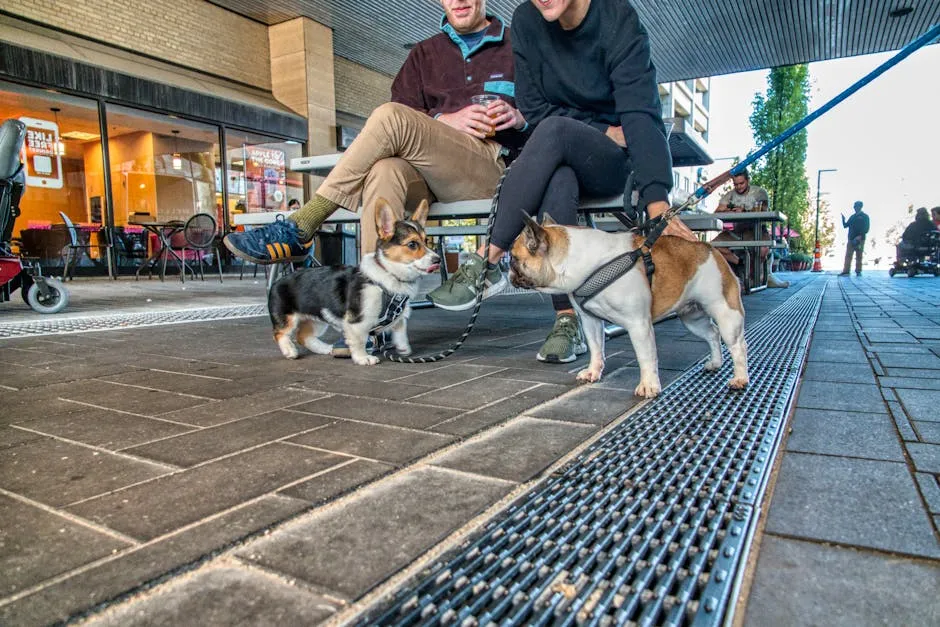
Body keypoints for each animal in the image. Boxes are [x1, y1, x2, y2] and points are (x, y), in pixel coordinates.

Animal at [266, 196, 438, 364]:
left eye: (426, 241)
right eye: (412, 244)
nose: (438, 260)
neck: (389, 273)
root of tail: (277, 282)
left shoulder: (397, 316)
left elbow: (401, 329)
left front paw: (403, 348)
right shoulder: (357, 321)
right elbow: (359, 340)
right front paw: (363, 358)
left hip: (318, 319)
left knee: (304, 336)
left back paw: (324, 348)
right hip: (288, 318)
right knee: (280, 333)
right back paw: (289, 350)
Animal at [506, 216, 748, 400]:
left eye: (514, 259)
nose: (508, 272)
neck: (585, 263)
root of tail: (710, 248)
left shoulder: (638, 324)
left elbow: (646, 357)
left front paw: (649, 385)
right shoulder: (590, 321)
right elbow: (596, 348)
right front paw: (593, 371)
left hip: (725, 312)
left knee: (738, 346)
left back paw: (740, 378)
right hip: (692, 318)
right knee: (712, 333)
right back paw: (715, 363)